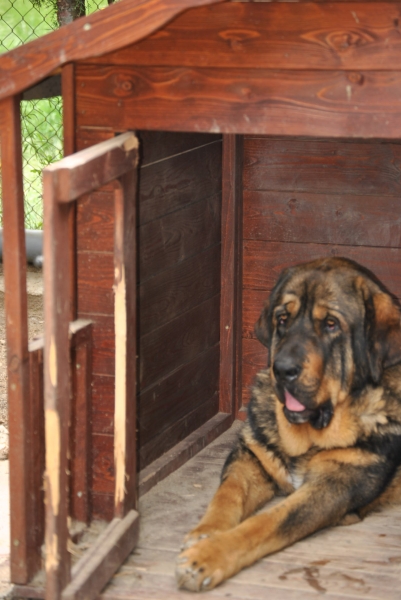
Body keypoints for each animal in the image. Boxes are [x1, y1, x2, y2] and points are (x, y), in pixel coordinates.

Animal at [177, 256, 400, 592]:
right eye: (282, 319)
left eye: (331, 324)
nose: (281, 369)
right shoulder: (252, 458)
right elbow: (227, 494)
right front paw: (206, 532)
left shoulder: (334, 486)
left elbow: (268, 522)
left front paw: (207, 556)